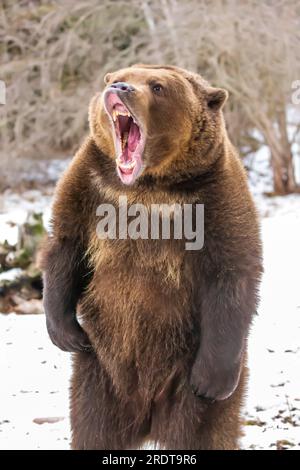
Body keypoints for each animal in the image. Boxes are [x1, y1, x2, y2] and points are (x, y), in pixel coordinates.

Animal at [41, 64, 262, 450]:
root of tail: (146, 416)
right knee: (93, 428)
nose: (119, 87)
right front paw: (66, 333)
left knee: (200, 432)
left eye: (157, 86)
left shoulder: (215, 196)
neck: (149, 185)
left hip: (183, 371)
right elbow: (66, 245)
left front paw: (211, 380)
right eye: (118, 74)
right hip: (99, 374)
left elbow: (232, 270)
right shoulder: (91, 185)